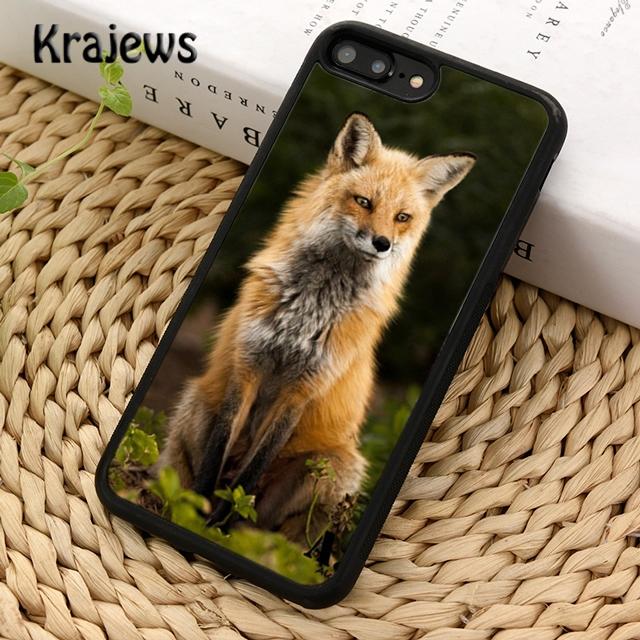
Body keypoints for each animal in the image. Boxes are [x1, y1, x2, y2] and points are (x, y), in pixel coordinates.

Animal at [159, 112, 475, 542]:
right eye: (363, 201)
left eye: (402, 217)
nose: (382, 243)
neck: (309, 310)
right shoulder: (247, 368)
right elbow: (217, 454)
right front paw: (197, 516)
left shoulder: (304, 389)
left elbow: (251, 473)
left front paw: (217, 526)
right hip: (196, 402)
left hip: (335, 466)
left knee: (276, 529)